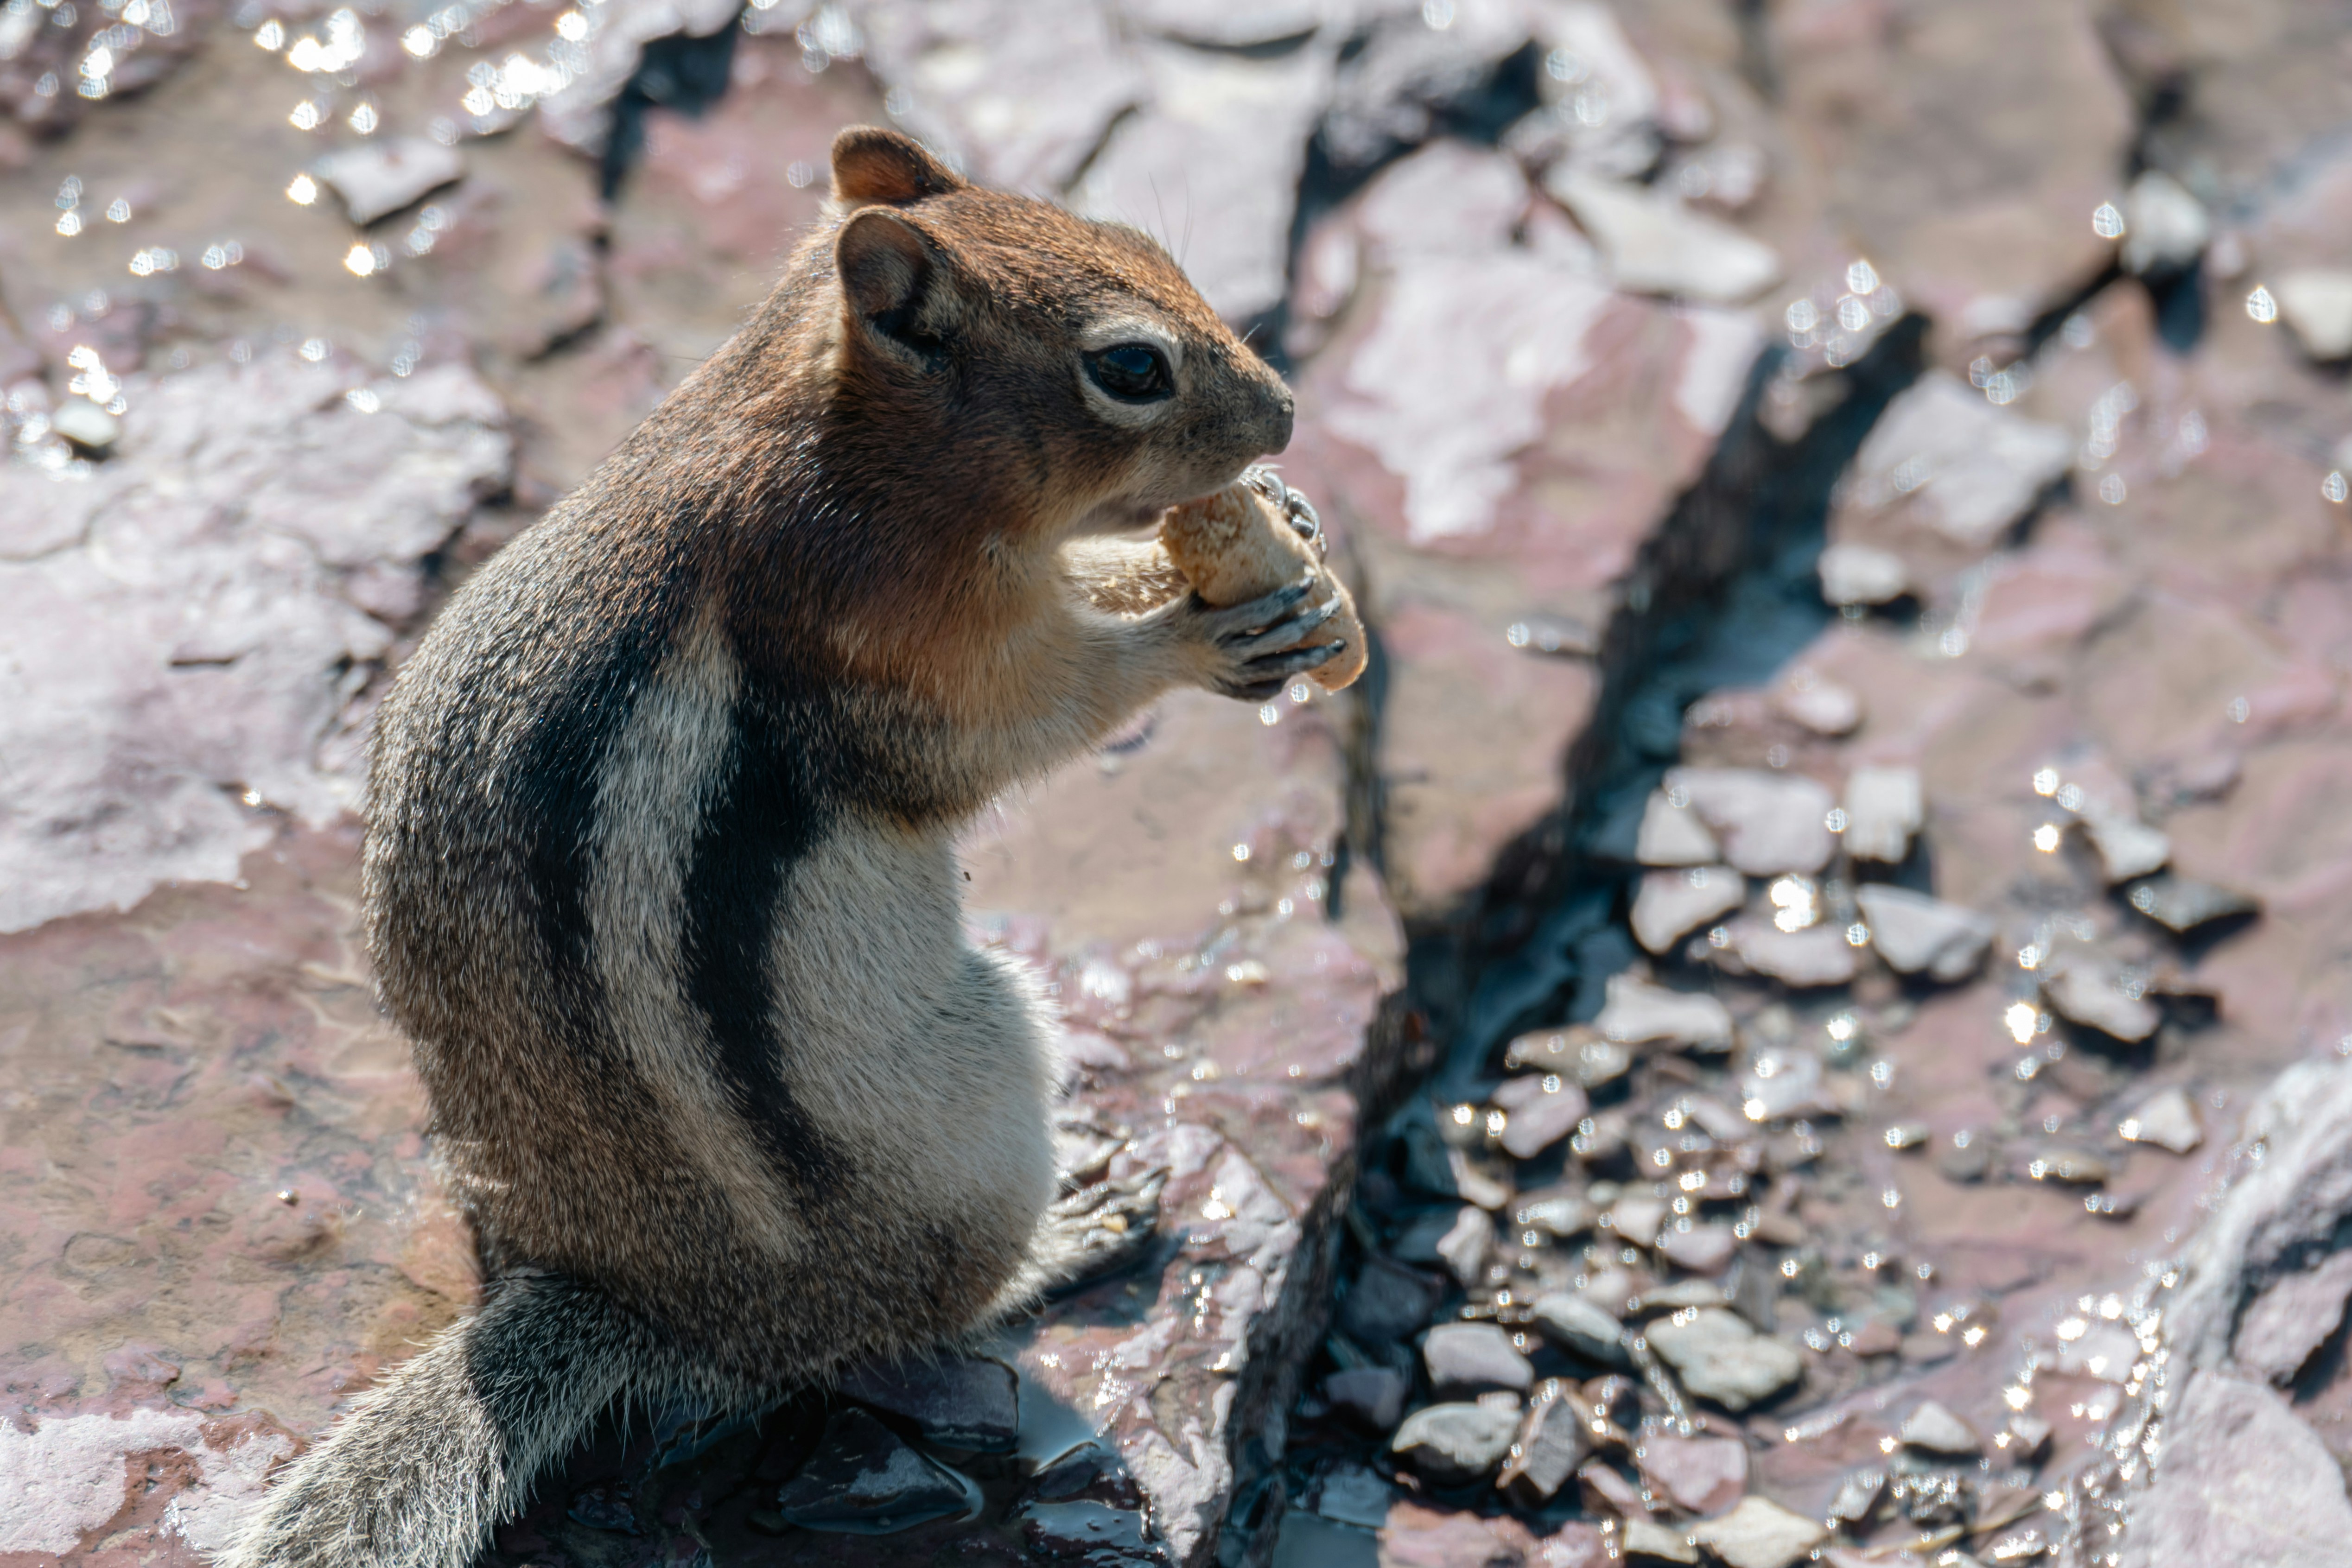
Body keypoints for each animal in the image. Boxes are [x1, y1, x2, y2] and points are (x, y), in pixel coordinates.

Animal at [224, 126, 1344, 1568]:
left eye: (1145, 244)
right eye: (1132, 367)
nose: (1289, 414)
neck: (837, 439)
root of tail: (656, 1308)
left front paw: (1273, 526)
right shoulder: (900, 638)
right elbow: (1025, 717)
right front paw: (1195, 631)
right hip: (980, 1085)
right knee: (923, 1319)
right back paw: (1073, 1229)